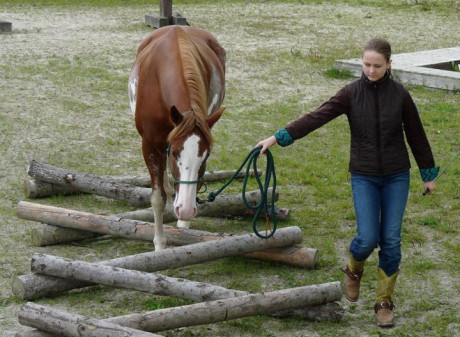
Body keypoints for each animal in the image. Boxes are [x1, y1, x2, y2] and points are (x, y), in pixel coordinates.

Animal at [128, 25, 226, 249]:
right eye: (174, 153)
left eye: (206, 156)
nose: (187, 210)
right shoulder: (149, 145)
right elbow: (157, 198)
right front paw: (159, 245)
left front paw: (184, 221)